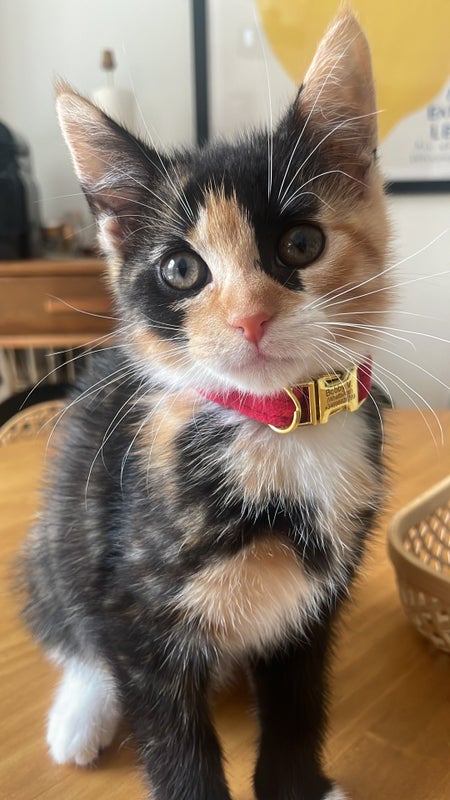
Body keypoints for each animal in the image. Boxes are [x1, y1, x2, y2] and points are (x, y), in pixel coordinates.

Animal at [20, 10, 391, 800]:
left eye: (302, 243)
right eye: (181, 269)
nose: (251, 318)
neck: (273, 429)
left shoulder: (316, 601)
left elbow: (298, 702)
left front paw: (299, 785)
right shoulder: (133, 611)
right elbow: (167, 732)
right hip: (56, 537)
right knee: (74, 629)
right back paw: (80, 714)